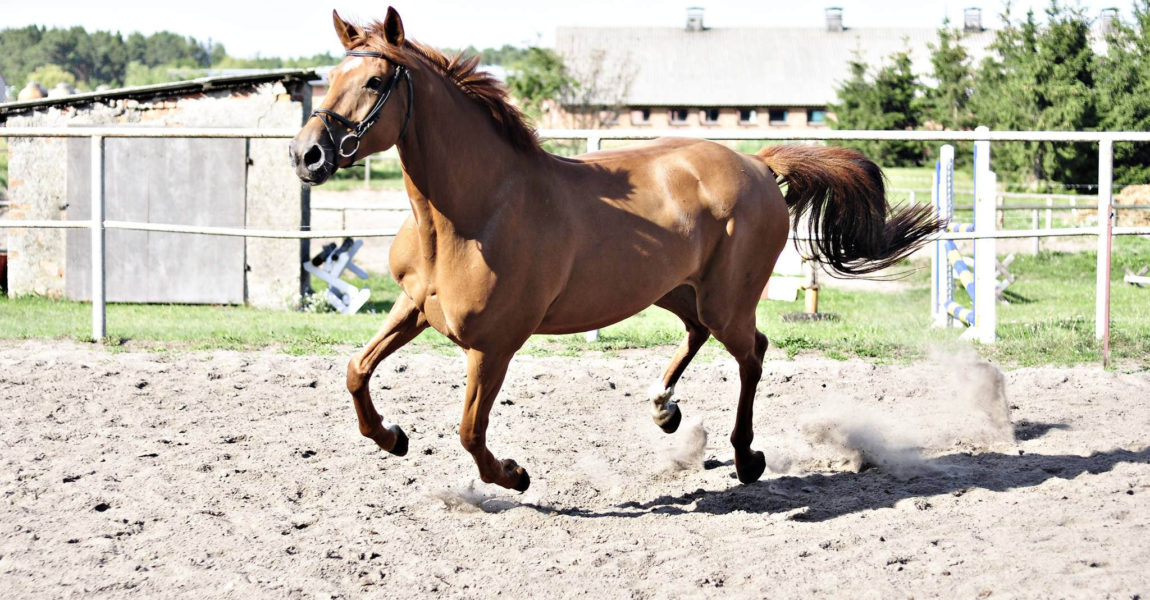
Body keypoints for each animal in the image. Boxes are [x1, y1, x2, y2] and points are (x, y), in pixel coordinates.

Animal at [289, 7, 943, 487]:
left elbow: (470, 431)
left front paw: (514, 475)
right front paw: (393, 437)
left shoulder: (493, 345)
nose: (306, 154)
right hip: (674, 290)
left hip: (726, 299)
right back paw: (664, 408)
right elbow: (355, 370)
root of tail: (758, 164)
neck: (474, 214)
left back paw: (746, 457)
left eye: (375, 81)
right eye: (331, 79)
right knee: (701, 335)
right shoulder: (415, 307)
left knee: (752, 352)